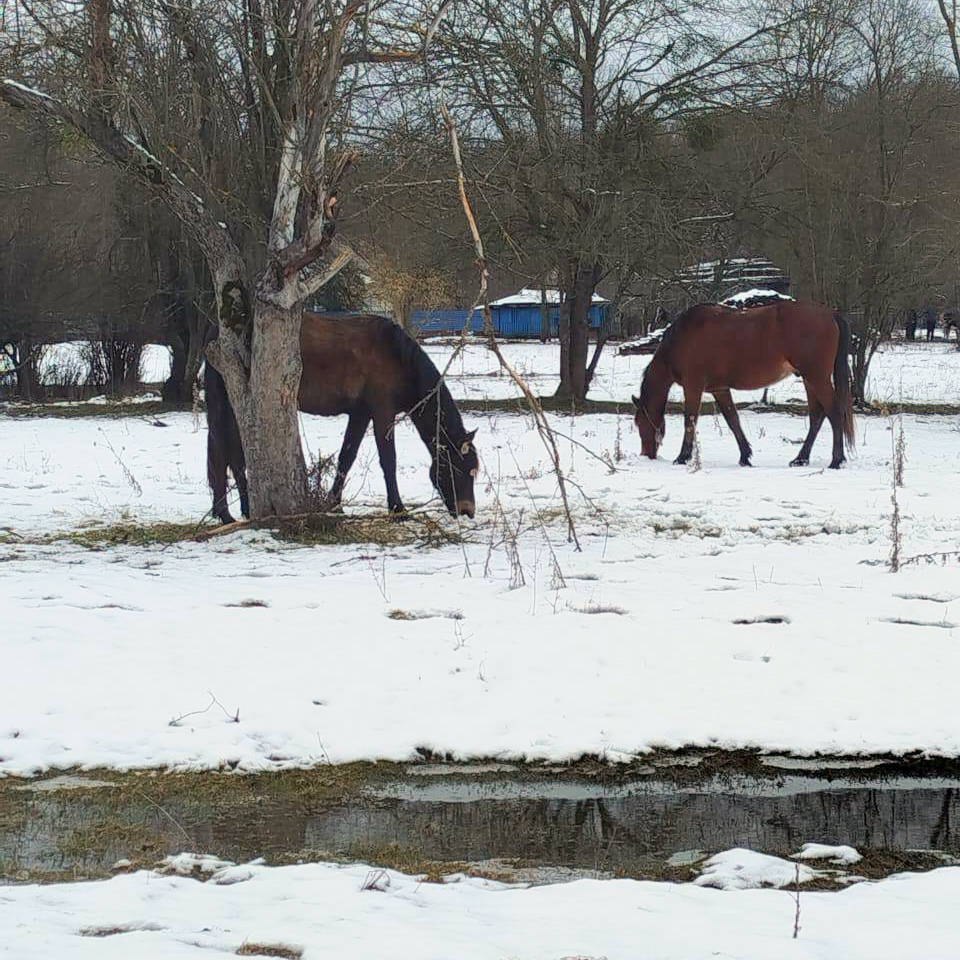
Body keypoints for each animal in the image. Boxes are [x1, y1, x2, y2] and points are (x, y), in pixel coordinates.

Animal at [204, 314, 478, 524]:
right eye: (464, 469)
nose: (467, 511)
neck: (397, 358)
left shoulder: (360, 414)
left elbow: (347, 457)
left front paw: (334, 504)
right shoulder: (383, 413)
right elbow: (388, 461)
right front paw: (398, 509)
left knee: (229, 456)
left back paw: (236, 511)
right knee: (226, 455)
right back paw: (229, 514)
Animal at [632, 298, 852, 466]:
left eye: (639, 422)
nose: (646, 455)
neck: (684, 338)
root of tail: (830, 314)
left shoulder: (693, 386)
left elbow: (690, 420)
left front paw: (682, 457)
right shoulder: (719, 389)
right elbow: (733, 420)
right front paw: (745, 456)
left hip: (816, 378)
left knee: (833, 412)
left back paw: (836, 460)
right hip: (809, 379)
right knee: (817, 416)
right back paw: (801, 459)